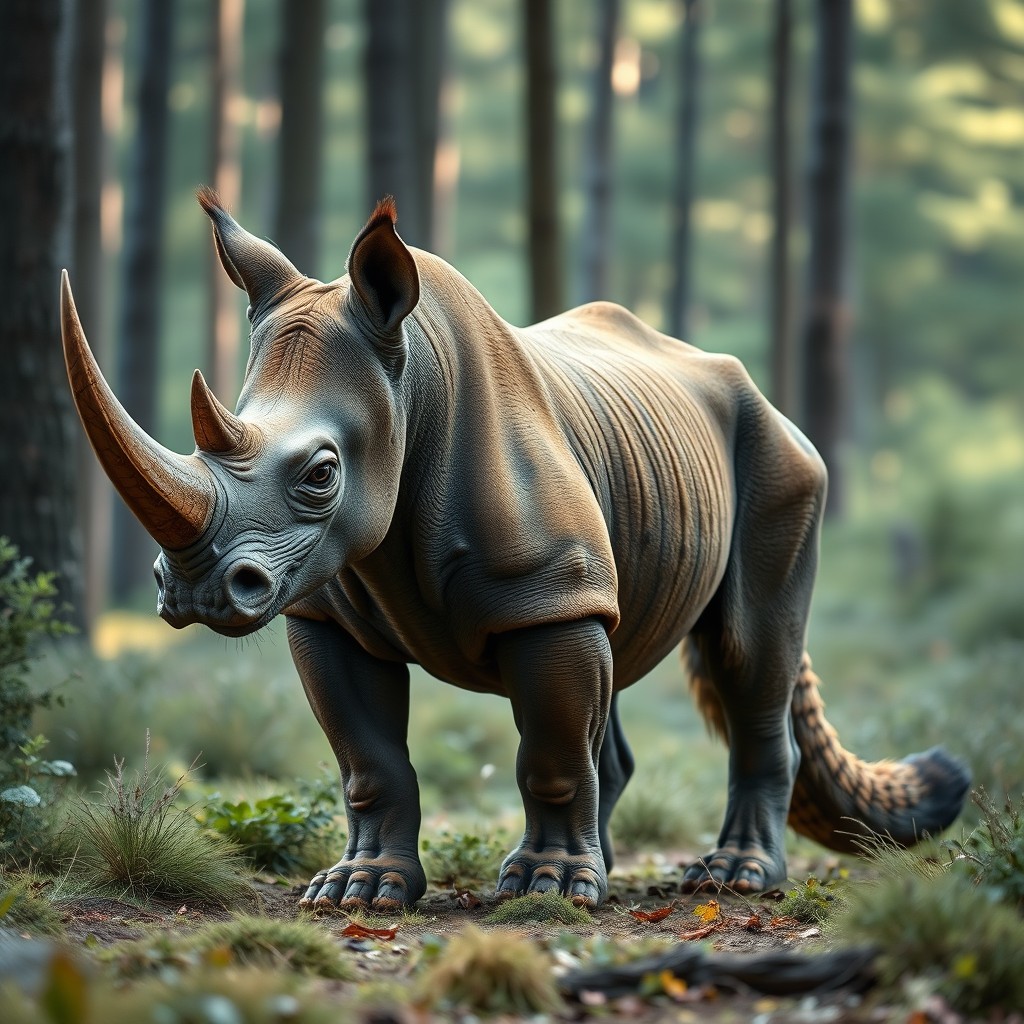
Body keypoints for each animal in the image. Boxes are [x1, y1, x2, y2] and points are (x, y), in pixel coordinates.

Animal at [60, 191, 969, 910]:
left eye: (321, 474)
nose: (196, 593)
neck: (410, 381)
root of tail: (766, 400)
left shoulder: (545, 595)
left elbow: (552, 750)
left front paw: (546, 889)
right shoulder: (324, 610)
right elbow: (368, 759)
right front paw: (359, 890)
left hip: (780, 462)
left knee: (749, 653)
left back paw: (731, 878)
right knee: (621, 660)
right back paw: (607, 869)